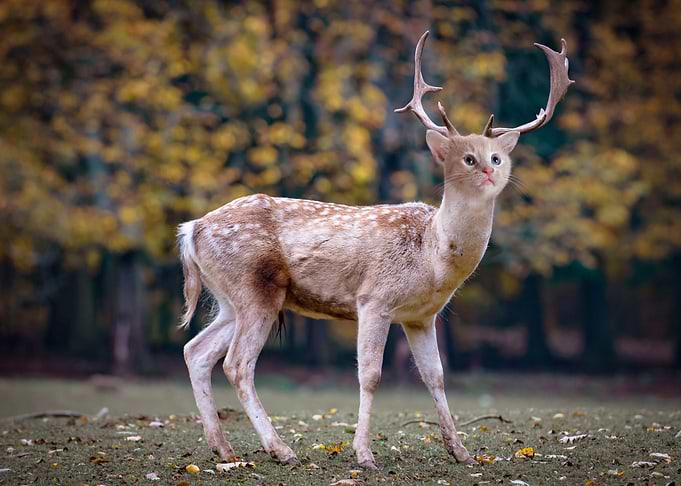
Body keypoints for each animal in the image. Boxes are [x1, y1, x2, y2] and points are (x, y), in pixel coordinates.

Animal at [178, 31, 573, 468]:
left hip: (229, 298)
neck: (433, 257)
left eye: (497, 156)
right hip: (254, 287)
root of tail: (191, 229)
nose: (488, 169)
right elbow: (370, 375)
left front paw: (462, 451)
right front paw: (364, 454)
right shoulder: (374, 299)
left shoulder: (421, 317)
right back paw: (280, 449)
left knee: (196, 350)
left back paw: (223, 447)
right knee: (237, 364)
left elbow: (436, 376)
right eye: (467, 158)